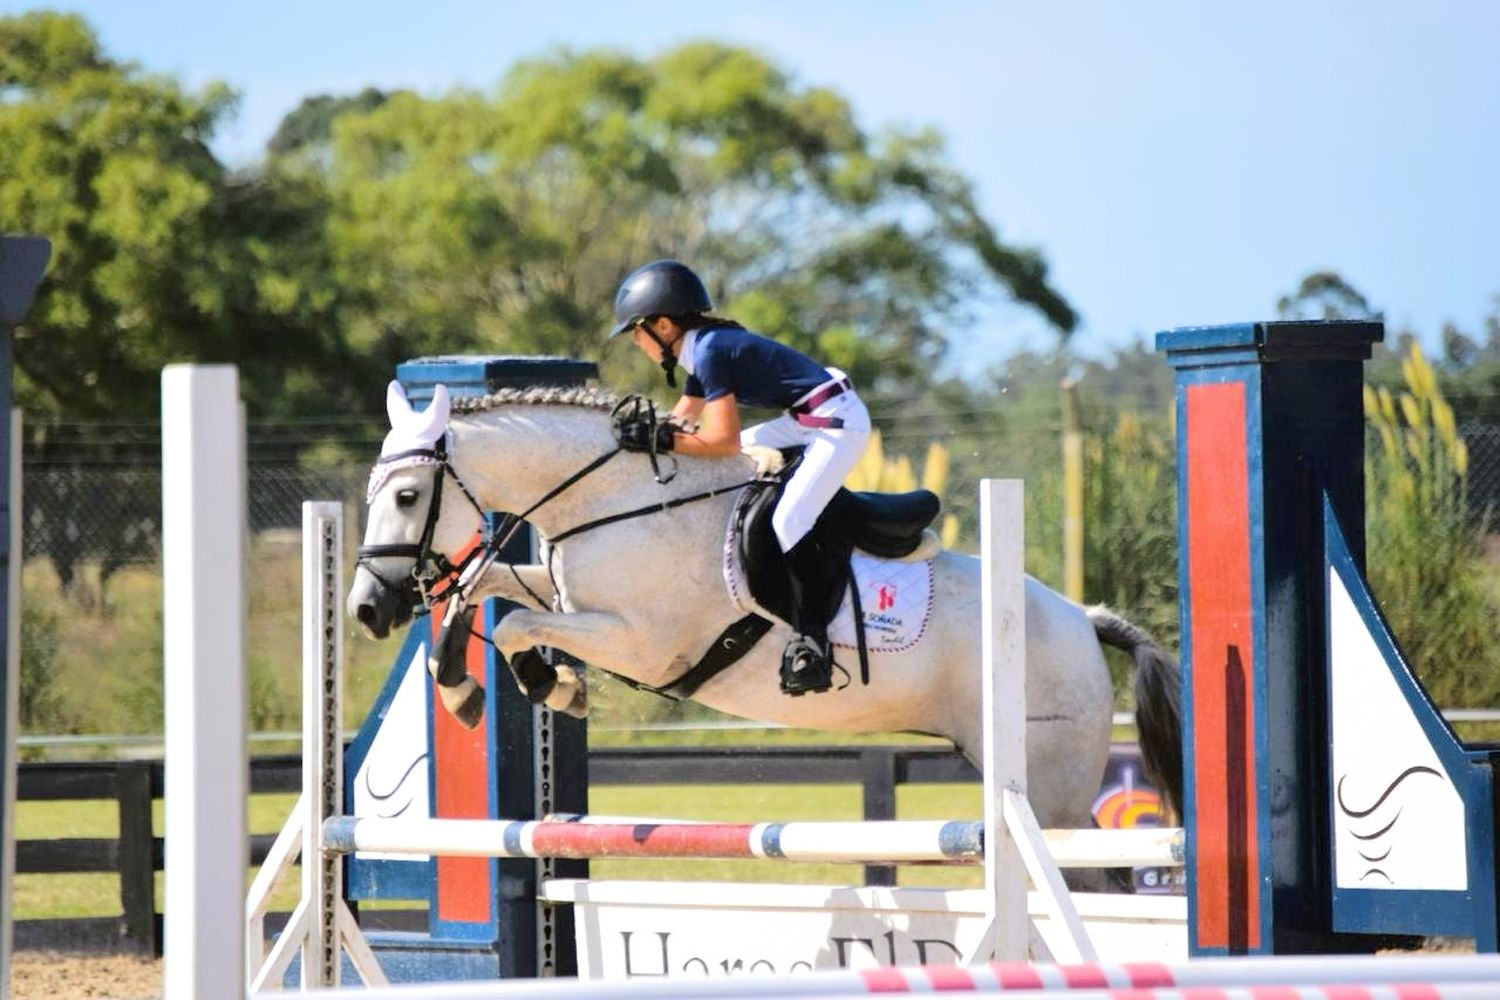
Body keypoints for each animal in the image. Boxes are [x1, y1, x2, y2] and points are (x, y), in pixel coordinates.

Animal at [345, 383, 1176, 845]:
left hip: (1050, 787)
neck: (617, 500)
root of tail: (1083, 621)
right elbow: (483, 588)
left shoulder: (643, 643)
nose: (365, 610)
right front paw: (464, 683)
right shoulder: (565, 593)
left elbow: (516, 620)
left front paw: (552, 684)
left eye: (409, 496)